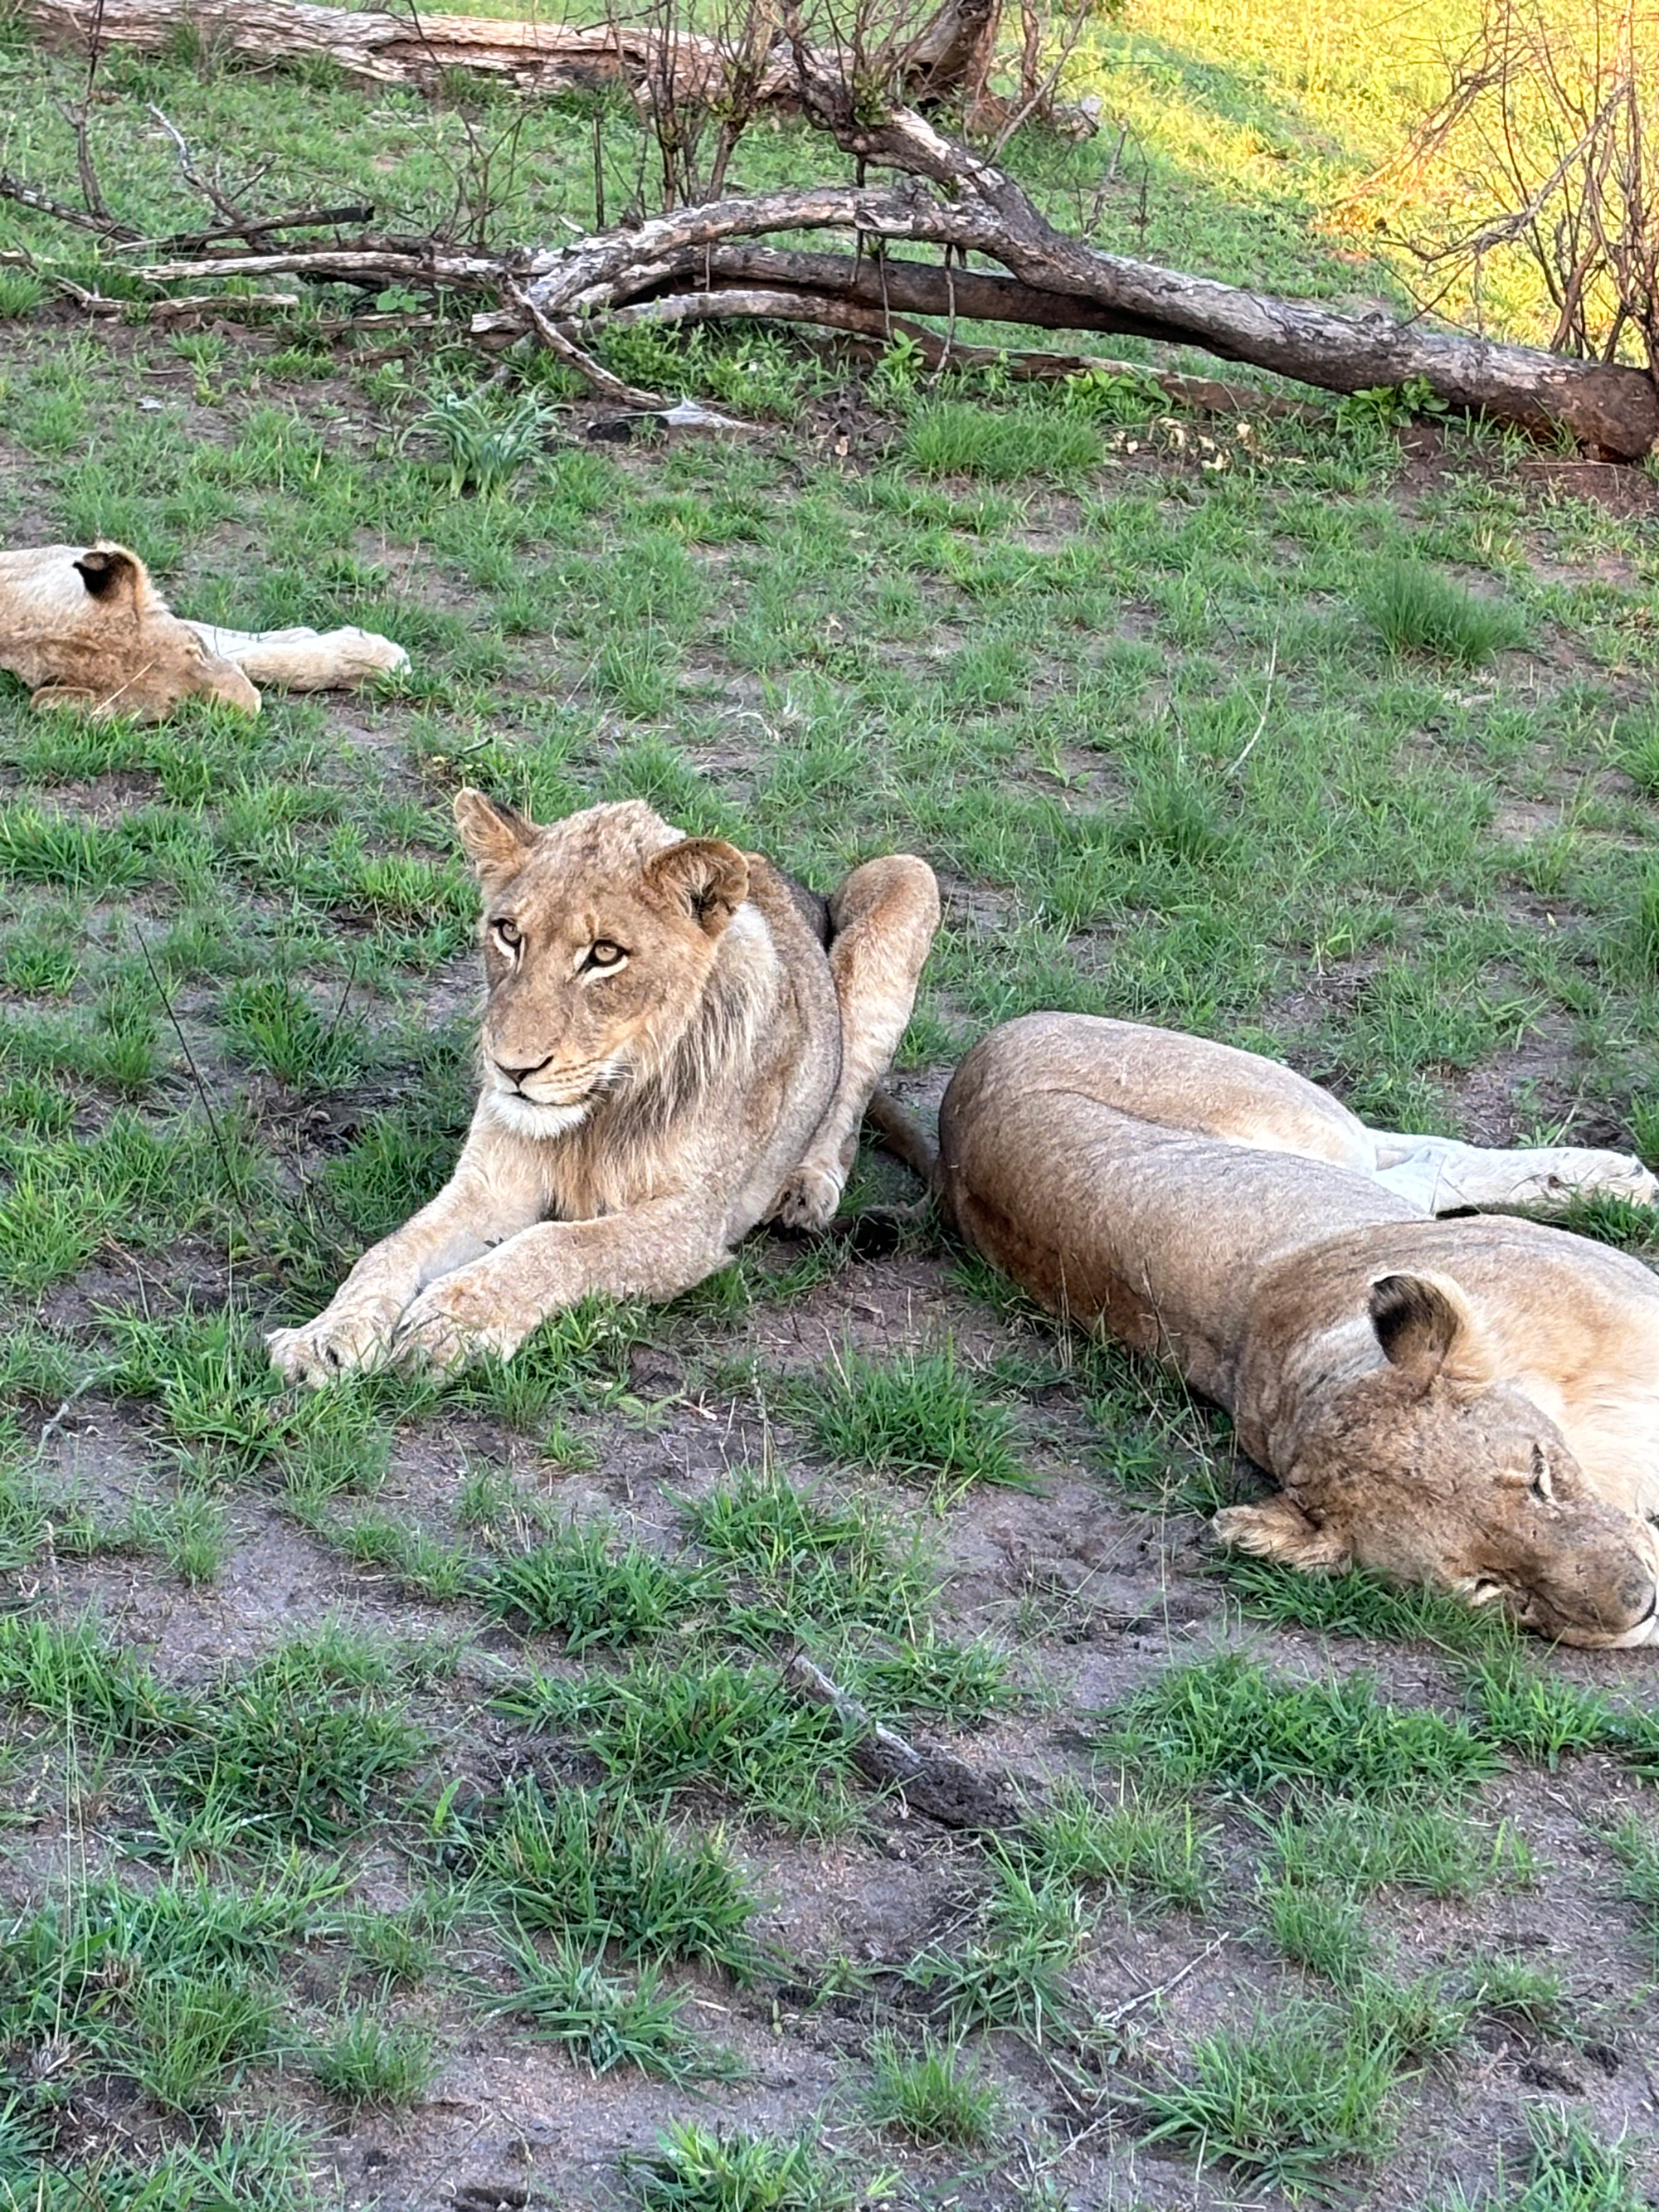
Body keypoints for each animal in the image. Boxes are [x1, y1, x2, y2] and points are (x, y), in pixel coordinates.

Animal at [276, 796, 946, 1380]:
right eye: (508, 933)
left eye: (604, 954)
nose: (511, 1069)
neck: (598, 1115)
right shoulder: (489, 1188)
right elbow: (391, 1248)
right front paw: (323, 1337)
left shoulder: (692, 1222)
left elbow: (565, 1243)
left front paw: (452, 1320)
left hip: (908, 876)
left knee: (848, 1095)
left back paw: (805, 1189)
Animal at [937, 1013, 1659, 1654]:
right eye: (1489, 1585)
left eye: (1539, 1475)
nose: (1640, 1603)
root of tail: (970, 1068)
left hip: (1308, 1119)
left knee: (1420, 1152)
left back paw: (1613, 1178)